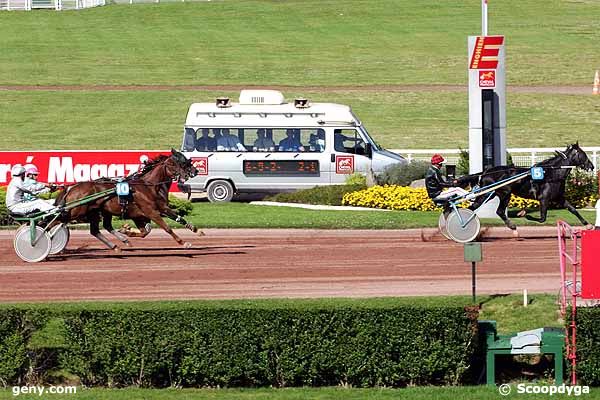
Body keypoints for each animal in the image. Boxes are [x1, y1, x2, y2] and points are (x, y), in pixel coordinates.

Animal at [54, 148, 199, 252]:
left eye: (186, 160)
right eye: (178, 162)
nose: (195, 171)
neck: (149, 186)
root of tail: (72, 187)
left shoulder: (153, 210)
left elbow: (151, 229)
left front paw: (196, 229)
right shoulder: (151, 211)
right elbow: (166, 228)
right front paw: (184, 243)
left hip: (96, 212)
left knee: (97, 229)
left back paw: (117, 245)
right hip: (76, 211)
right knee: (57, 220)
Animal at [468, 143, 596, 231]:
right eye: (583, 155)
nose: (592, 166)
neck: (552, 174)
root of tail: (486, 172)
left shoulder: (559, 198)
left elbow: (573, 209)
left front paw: (588, 224)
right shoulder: (544, 199)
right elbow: (542, 218)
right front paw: (524, 214)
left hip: (489, 194)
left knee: (474, 207)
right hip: (503, 194)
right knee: (499, 211)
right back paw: (512, 225)